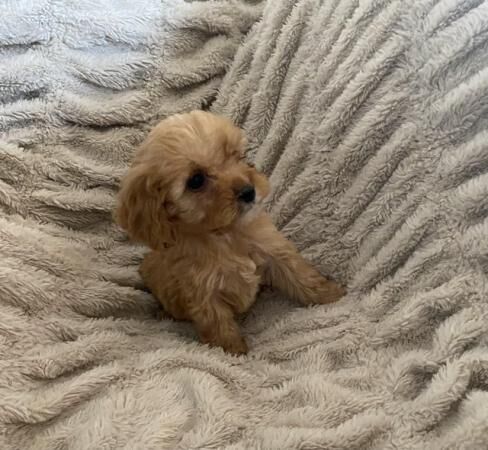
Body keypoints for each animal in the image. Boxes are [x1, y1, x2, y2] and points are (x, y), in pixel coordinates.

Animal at [116, 110, 346, 354]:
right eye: (196, 180)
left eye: (236, 155)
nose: (248, 191)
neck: (225, 234)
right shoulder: (203, 293)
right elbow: (218, 325)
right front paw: (234, 353)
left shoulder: (274, 250)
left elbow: (301, 275)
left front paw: (331, 295)